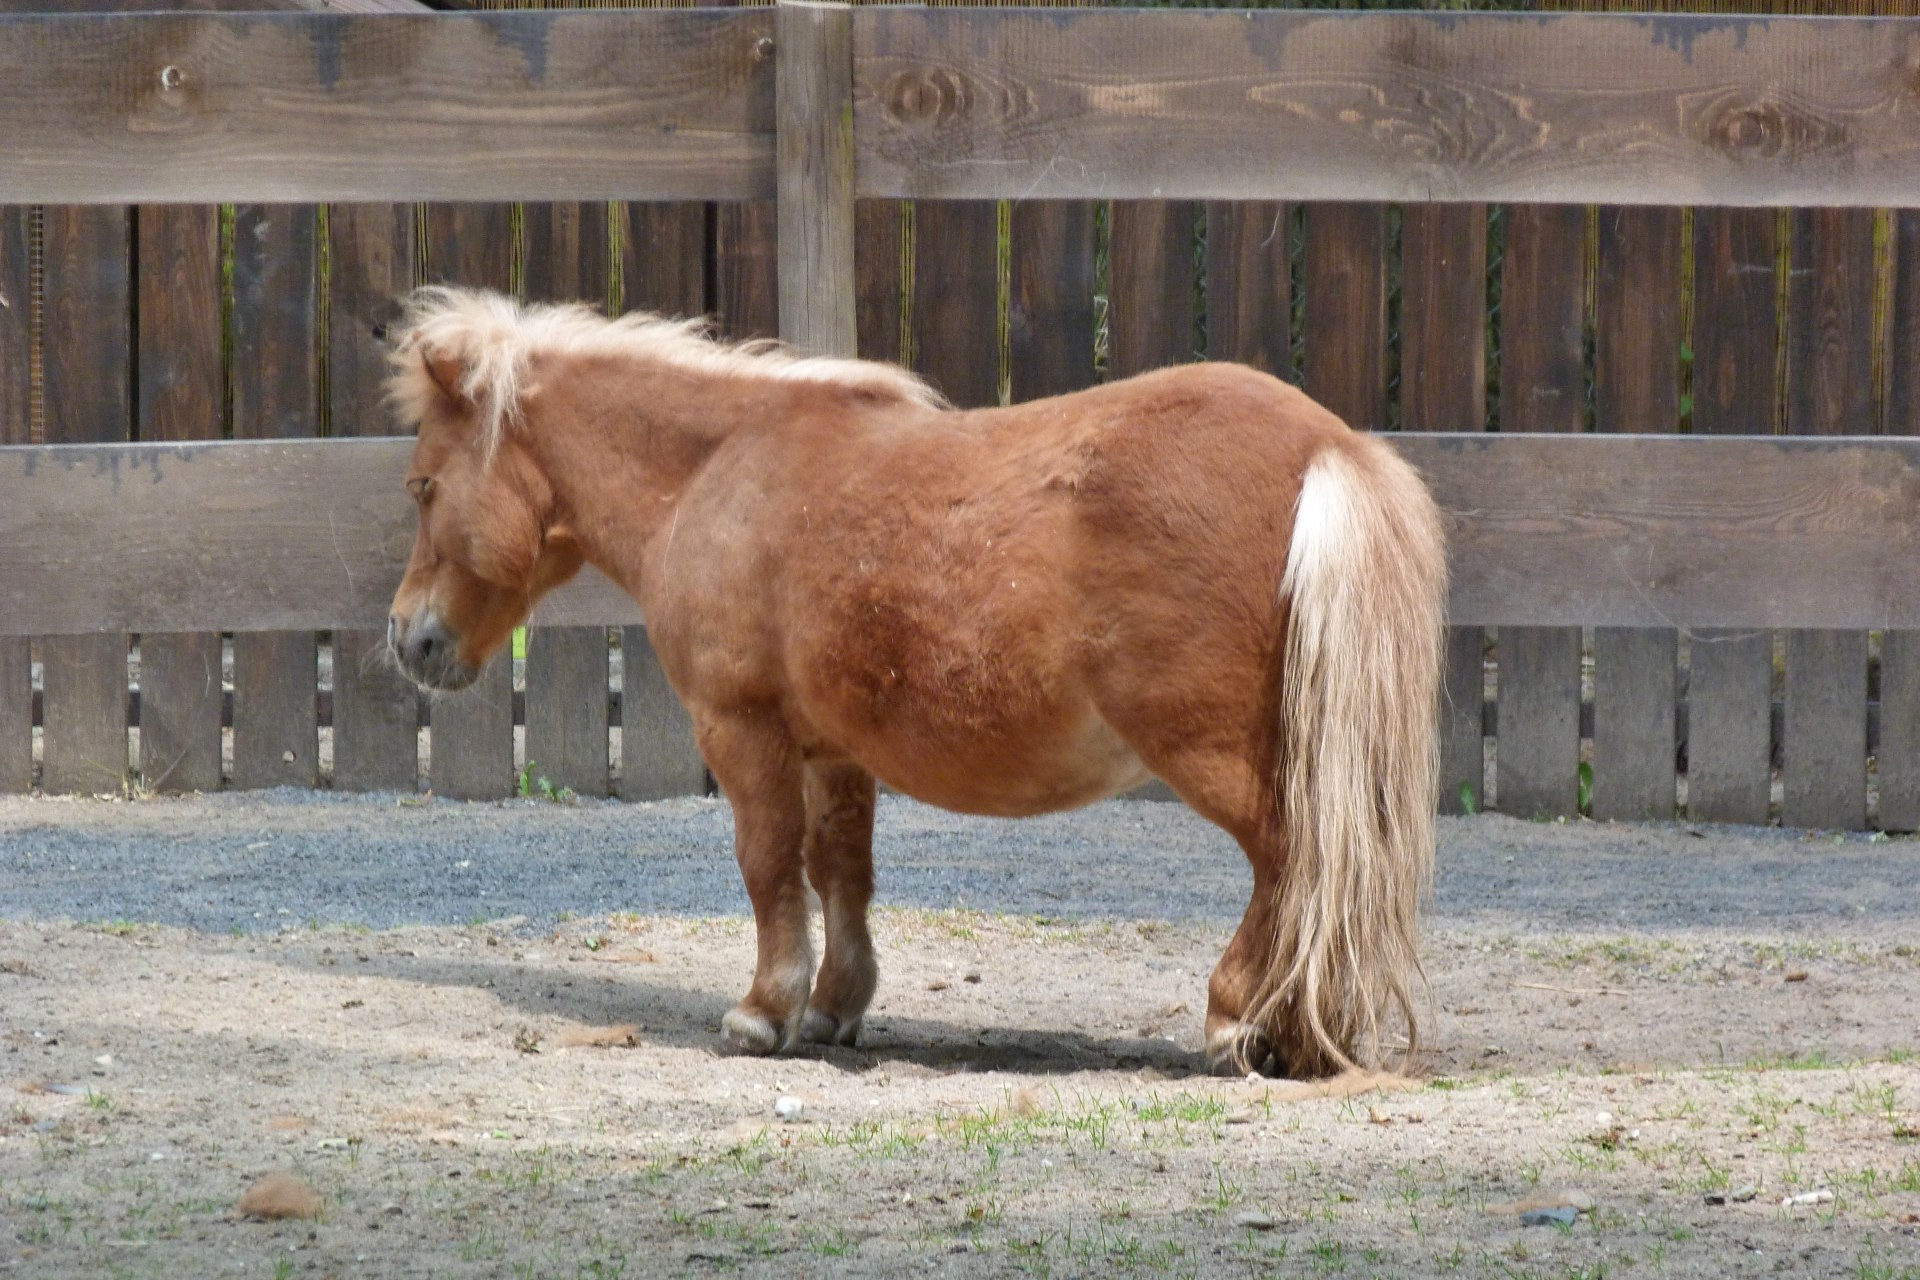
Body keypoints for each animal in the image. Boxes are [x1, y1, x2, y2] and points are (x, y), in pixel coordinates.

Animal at [382, 286, 1447, 1079]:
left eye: (424, 485)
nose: (410, 640)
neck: (715, 470)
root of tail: (1329, 448)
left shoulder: (741, 729)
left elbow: (768, 865)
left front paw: (763, 1011)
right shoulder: (833, 750)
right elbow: (838, 872)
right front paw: (832, 1007)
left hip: (1223, 759)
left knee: (1291, 863)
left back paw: (1241, 1021)